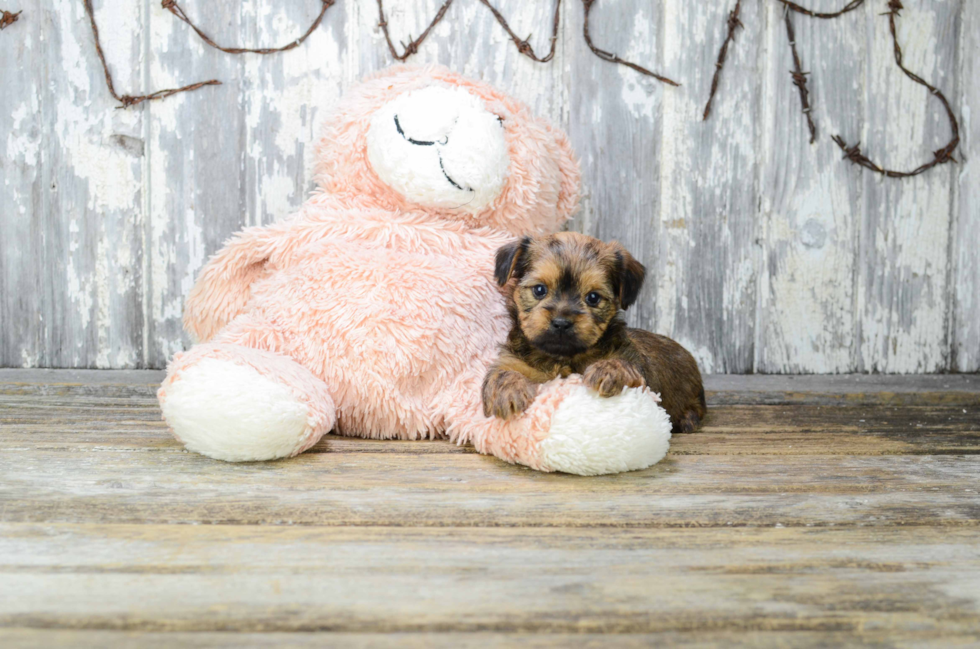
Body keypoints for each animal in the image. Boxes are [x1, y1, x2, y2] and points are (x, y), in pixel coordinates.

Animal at [482, 230, 704, 432]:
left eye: (593, 298)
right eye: (539, 290)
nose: (561, 322)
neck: (563, 358)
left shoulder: (638, 371)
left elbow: (624, 365)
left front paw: (608, 370)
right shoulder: (512, 360)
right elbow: (501, 374)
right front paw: (509, 392)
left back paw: (687, 419)